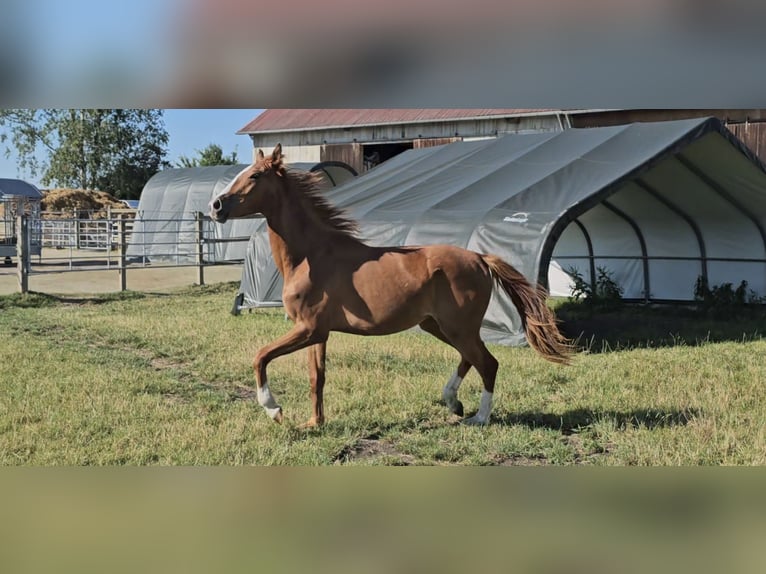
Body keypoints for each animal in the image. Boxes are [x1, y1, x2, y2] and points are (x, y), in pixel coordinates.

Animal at [209, 144, 572, 427]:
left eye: (255, 176)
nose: (216, 206)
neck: (310, 256)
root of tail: (480, 258)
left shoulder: (308, 328)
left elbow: (261, 356)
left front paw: (274, 410)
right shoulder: (316, 332)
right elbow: (317, 377)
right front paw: (315, 423)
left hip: (457, 326)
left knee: (488, 363)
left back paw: (478, 417)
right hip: (437, 325)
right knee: (470, 358)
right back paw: (452, 402)